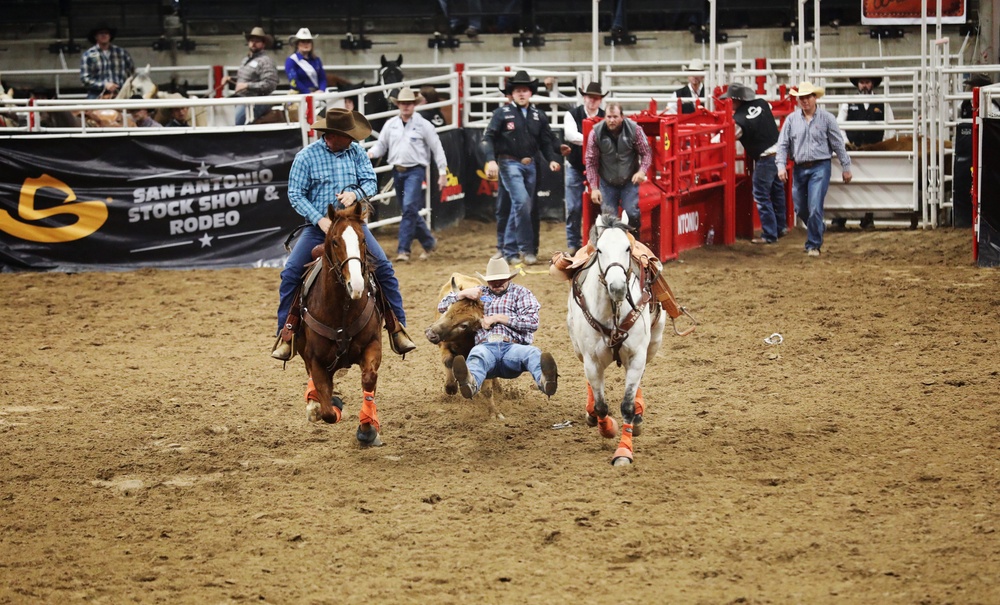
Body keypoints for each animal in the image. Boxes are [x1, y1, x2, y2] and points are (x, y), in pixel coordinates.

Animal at [298, 202, 384, 444]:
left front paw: (367, 428)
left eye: (363, 239)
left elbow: (369, 379)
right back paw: (314, 403)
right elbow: (327, 411)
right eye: (335, 241)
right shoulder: (315, 359)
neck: (342, 311)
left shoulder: (373, 344)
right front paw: (330, 405)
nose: (356, 285)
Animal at [572, 212, 664, 468]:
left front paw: (623, 452)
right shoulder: (591, 360)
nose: (617, 287)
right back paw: (590, 413)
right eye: (600, 250)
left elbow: (627, 405)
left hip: (653, 345)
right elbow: (602, 406)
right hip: (578, 350)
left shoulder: (637, 355)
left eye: (626, 248)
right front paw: (607, 428)